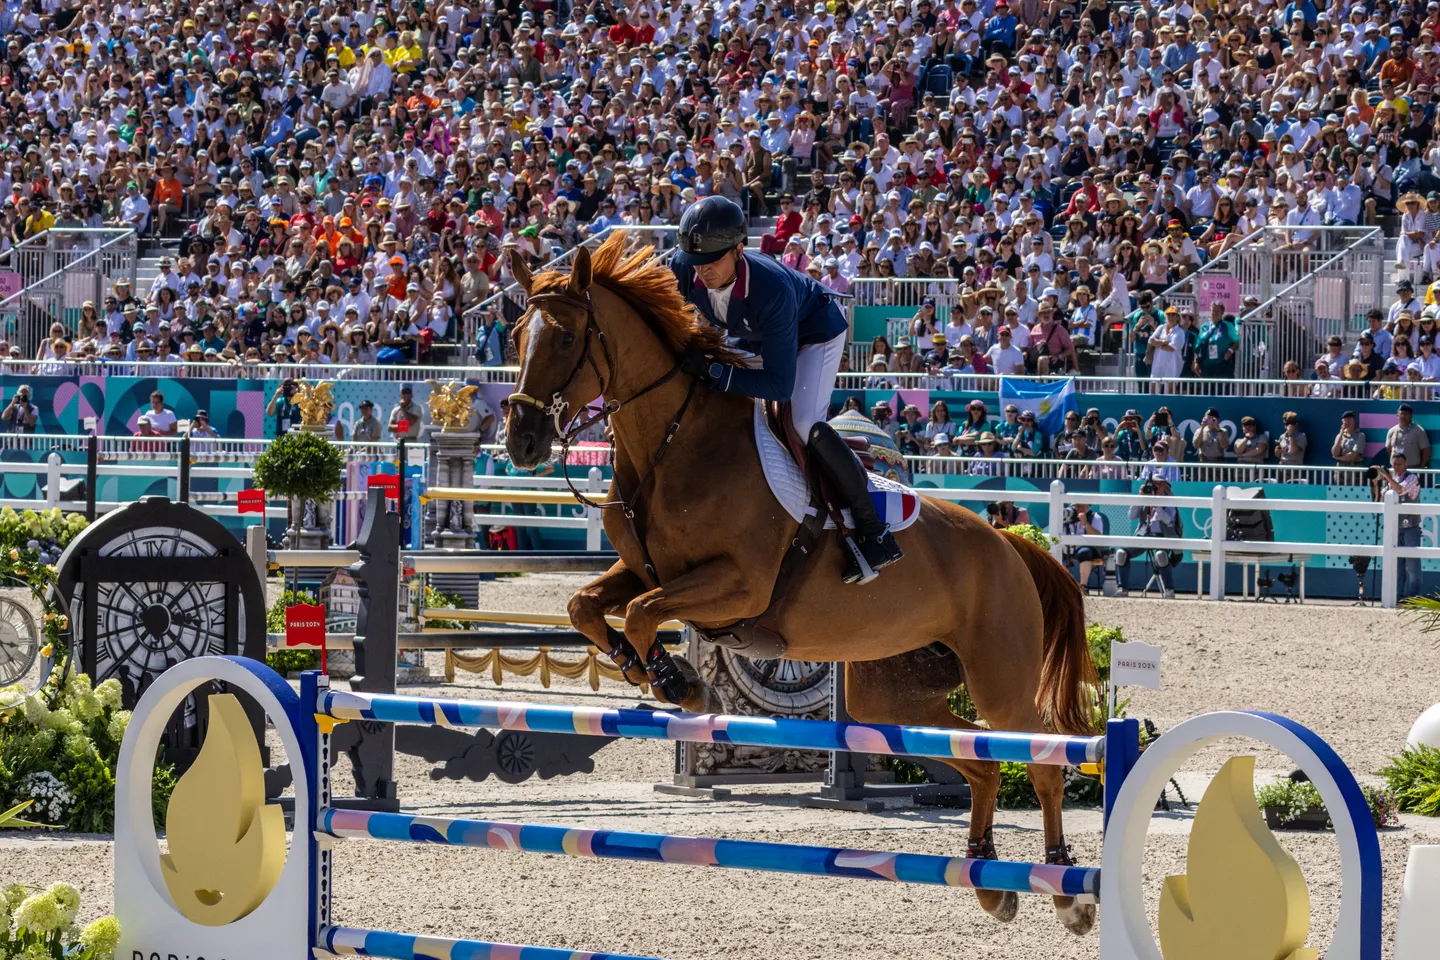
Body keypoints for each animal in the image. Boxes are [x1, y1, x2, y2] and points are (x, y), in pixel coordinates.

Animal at [502, 232, 1098, 934]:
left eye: (567, 338)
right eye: (516, 334)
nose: (521, 442)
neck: (672, 443)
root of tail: (1008, 543)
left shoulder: (740, 585)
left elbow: (646, 612)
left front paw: (684, 684)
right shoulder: (645, 570)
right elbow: (586, 606)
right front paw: (643, 668)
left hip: (1000, 679)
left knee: (1040, 761)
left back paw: (1067, 891)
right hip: (887, 695)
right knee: (976, 763)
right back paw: (988, 877)